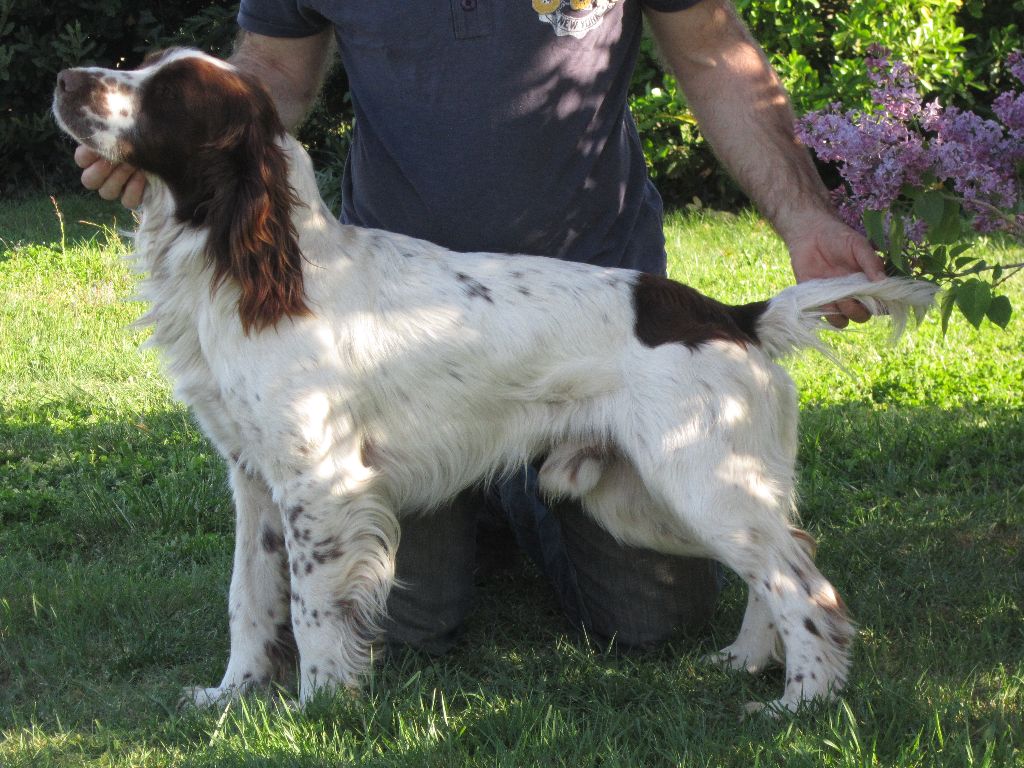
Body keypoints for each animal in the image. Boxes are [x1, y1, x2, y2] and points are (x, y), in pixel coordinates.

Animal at [54, 51, 937, 716]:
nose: (66, 80)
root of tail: (735, 316)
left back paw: (801, 703)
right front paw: (231, 697)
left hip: (698, 481)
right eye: (141, 66)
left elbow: (310, 611)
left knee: (805, 589)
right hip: (649, 498)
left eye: (170, 93)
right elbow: (249, 599)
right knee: (778, 564)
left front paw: (319, 708)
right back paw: (746, 661)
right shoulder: (255, 481)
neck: (260, 272)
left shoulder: (321, 484)